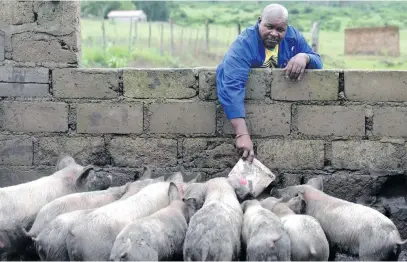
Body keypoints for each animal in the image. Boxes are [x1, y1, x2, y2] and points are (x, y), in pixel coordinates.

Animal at [274, 177, 407, 260]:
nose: (275, 190)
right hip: (393, 254)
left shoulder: (328, 234)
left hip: (371, 250)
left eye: (291, 193)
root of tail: (395, 237)